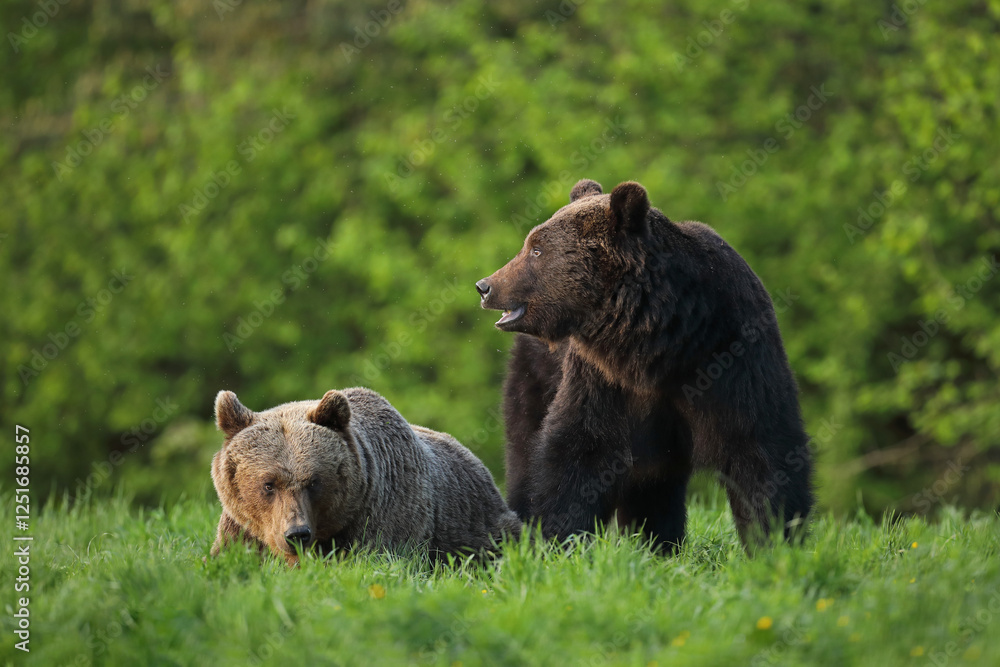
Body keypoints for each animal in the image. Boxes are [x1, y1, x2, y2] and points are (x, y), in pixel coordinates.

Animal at [475, 178, 813, 552]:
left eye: (536, 249)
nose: (485, 286)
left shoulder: (734, 356)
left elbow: (760, 450)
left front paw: (775, 540)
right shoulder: (603, 379)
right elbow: (578, 449)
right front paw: (560, 540)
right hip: (537, 375)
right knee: (525, 446)